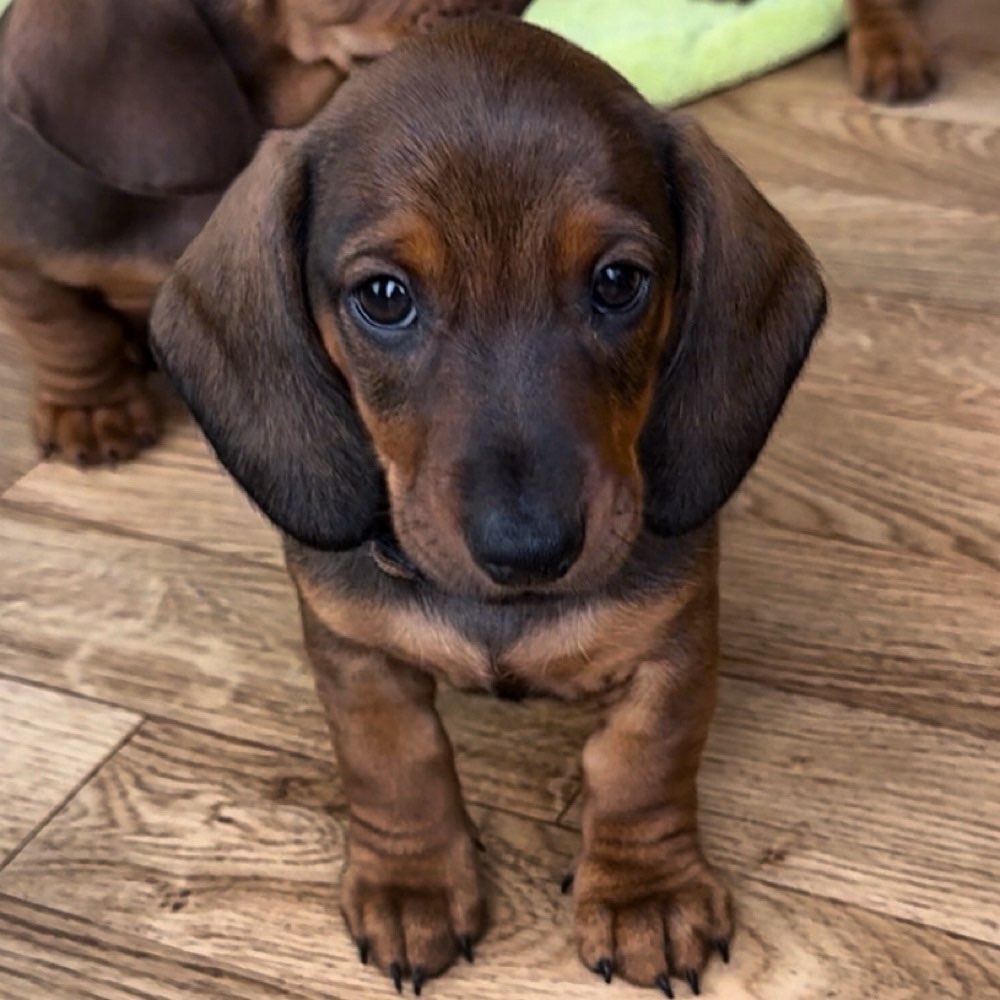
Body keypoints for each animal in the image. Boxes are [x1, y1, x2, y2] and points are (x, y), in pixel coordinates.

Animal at [152, 15, 828, 1000]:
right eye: (383, 297)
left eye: (619, 281)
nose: (529, 549)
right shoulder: (354, 650)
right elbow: (393, 764)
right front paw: (413, 885)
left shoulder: (674, 643)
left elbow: (641, 764)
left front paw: (645, 894)